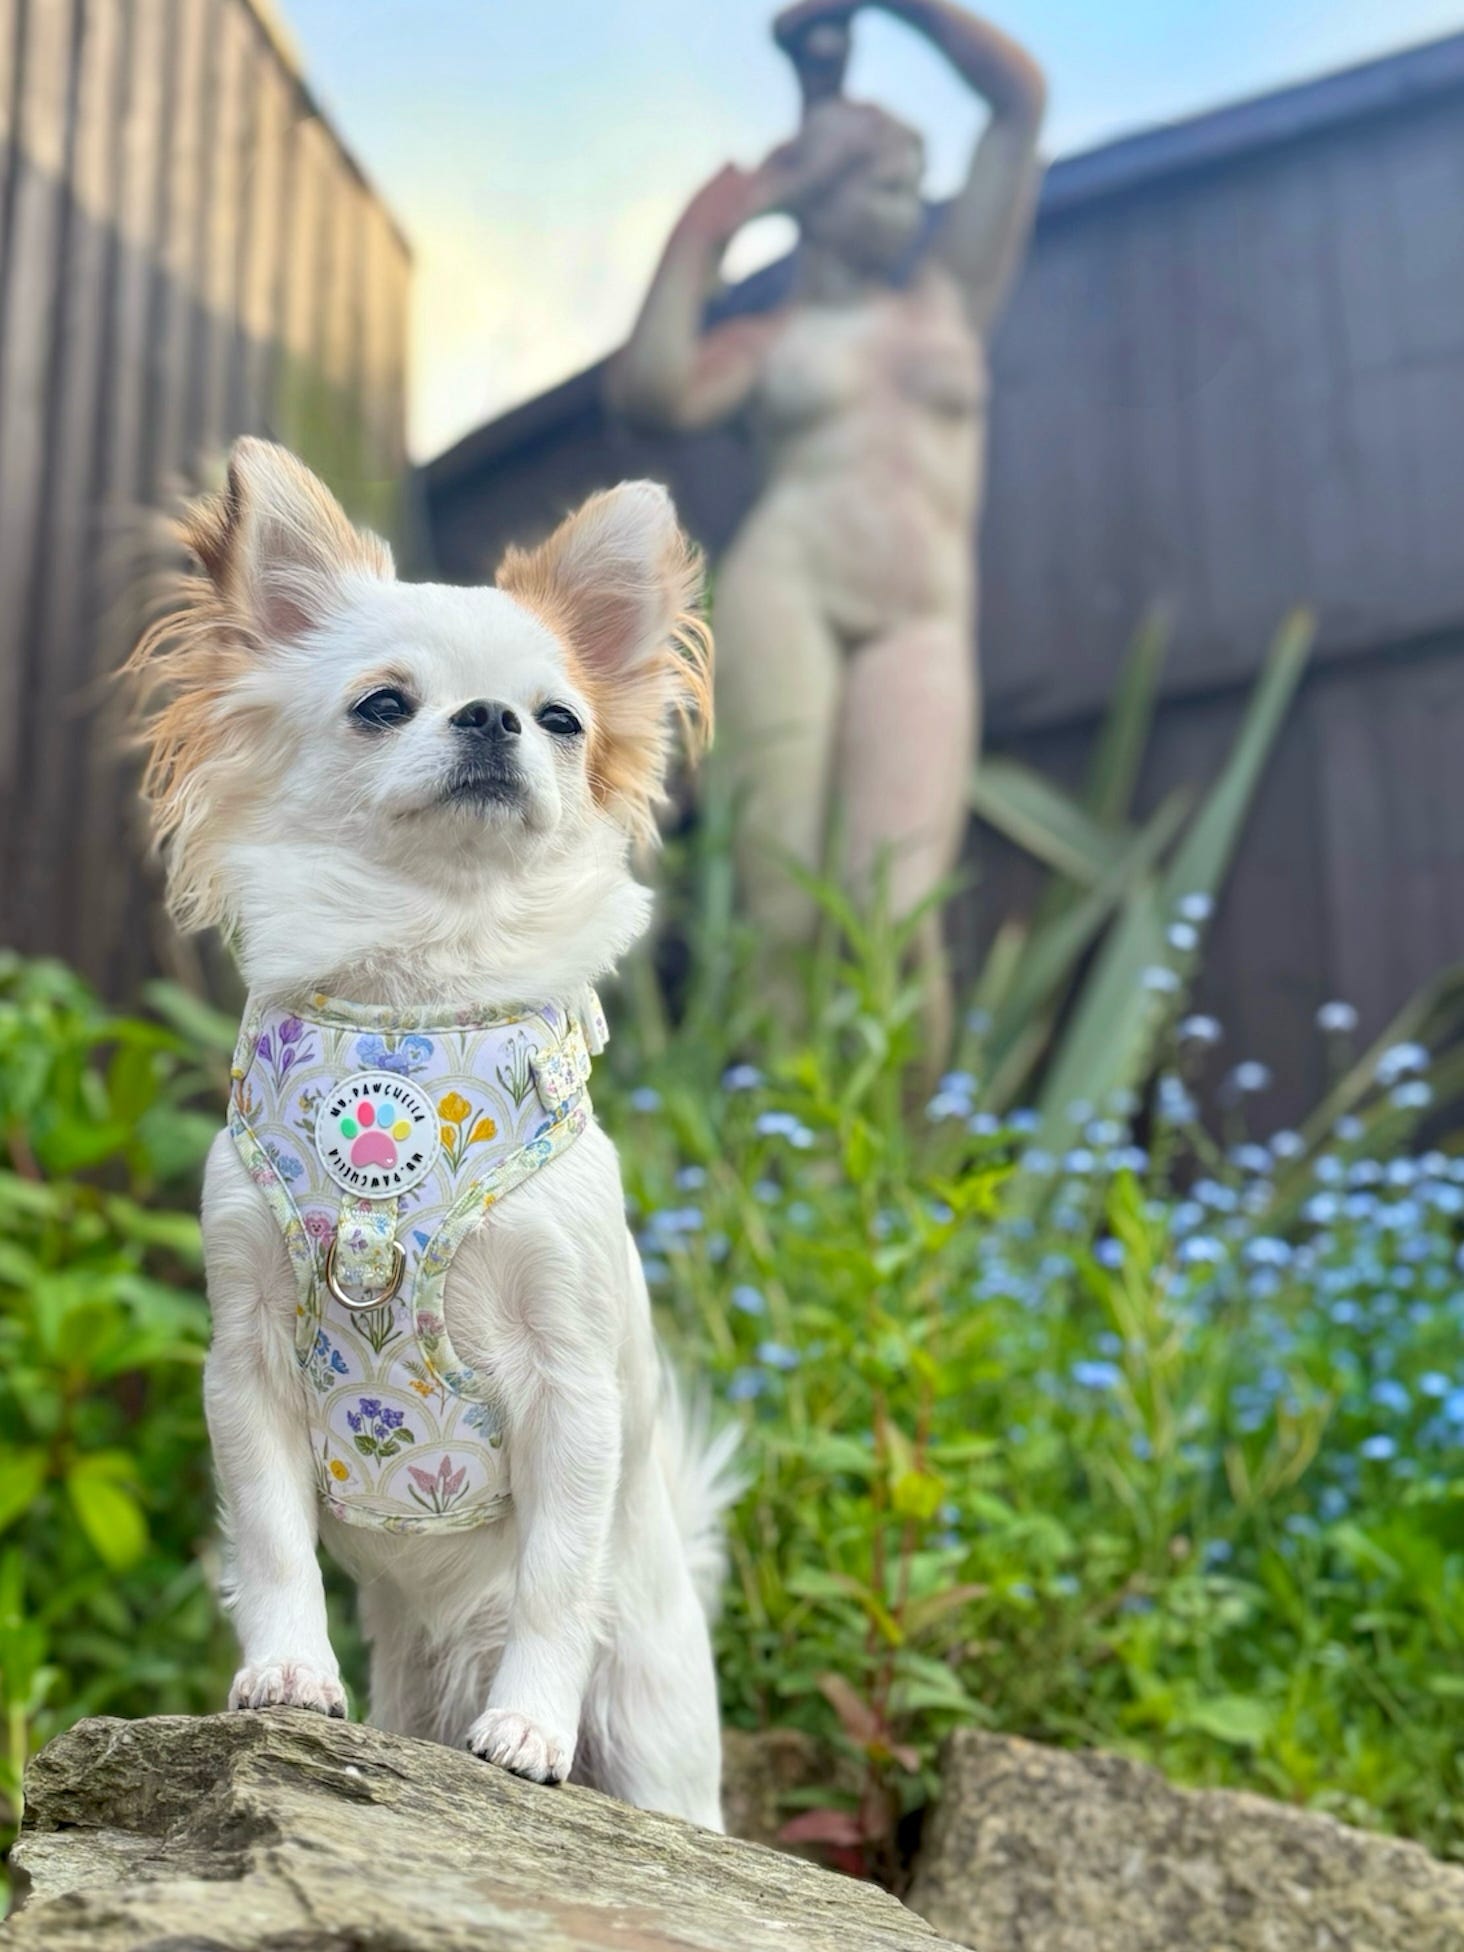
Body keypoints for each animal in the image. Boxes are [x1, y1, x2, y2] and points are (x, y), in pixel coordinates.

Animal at [128, 437, 733, 1828]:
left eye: (562, 719)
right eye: (382, 704)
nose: (494, 719)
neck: (414, 1013)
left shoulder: (573, 1389)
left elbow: (557, 1575)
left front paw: (529, 1728)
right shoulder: (246, 1366)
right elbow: (272, 1540)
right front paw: (288, 1671)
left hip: (659, 1717)